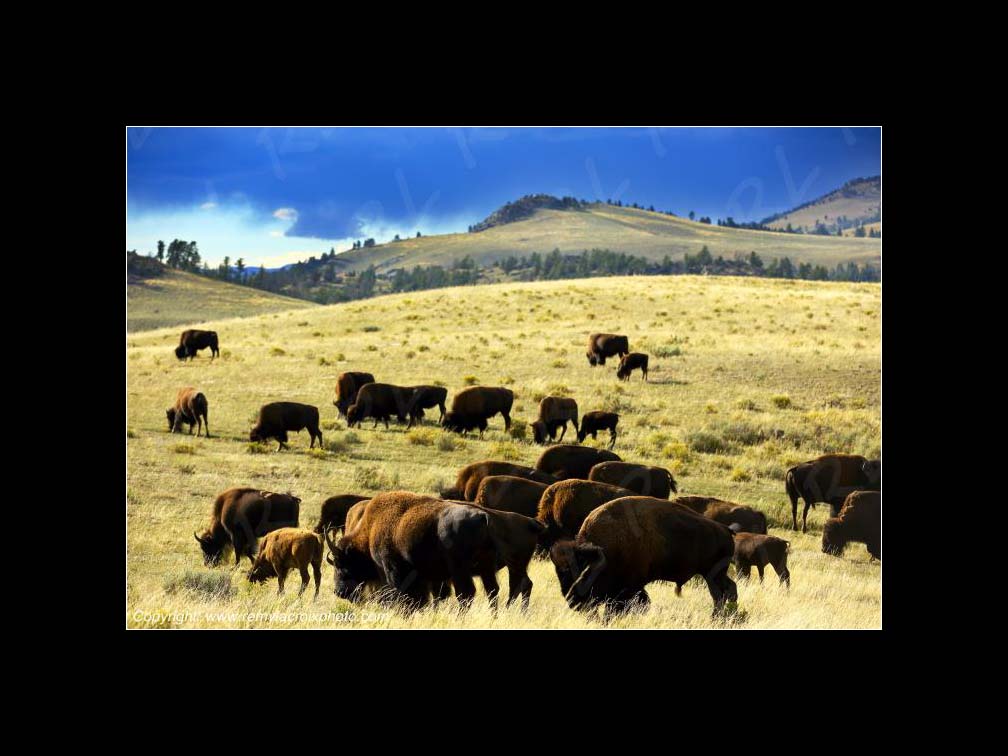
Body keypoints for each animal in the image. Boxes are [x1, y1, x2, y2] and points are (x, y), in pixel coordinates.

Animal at [550, 496, 738, 618]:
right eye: (560, 574)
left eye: (585, 571)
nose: (572, 601)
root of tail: (726, 530)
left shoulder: (628, 587)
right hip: (714, 574)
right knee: (727, 591)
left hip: (713, 574)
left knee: (721, 594)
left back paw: (717, 617)